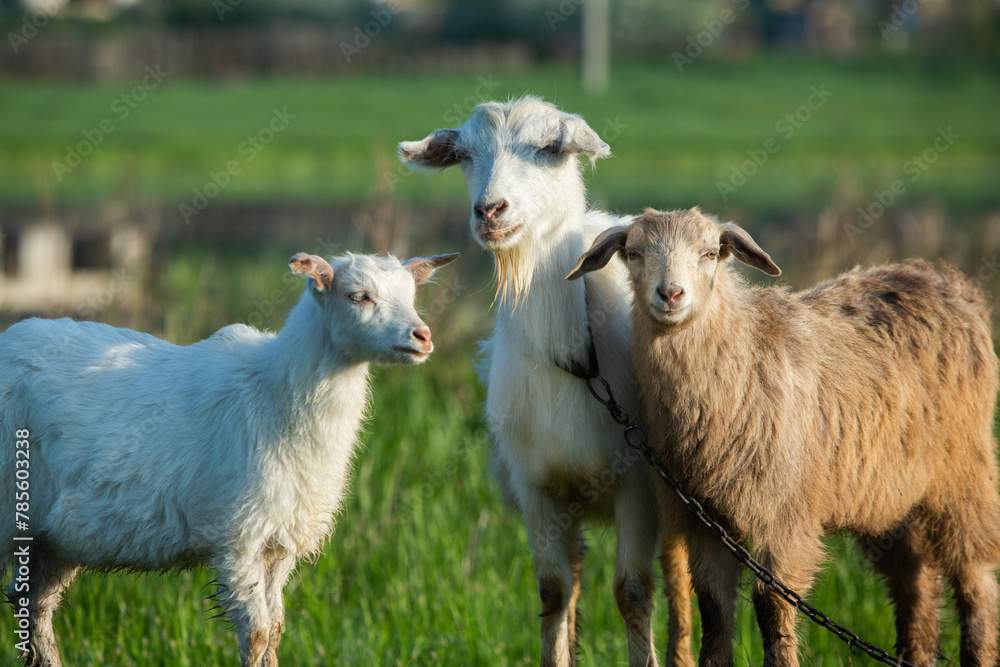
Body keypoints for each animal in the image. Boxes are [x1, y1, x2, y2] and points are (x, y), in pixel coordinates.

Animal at [0, 250, 458, 667]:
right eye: (358, 296)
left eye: (412, 294)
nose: (422, 336)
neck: (274, 393)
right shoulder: (238, 538)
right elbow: (257, 634)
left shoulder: (279, 543)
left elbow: (275, 629)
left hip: (52, 536)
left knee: (34, 606)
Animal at [400, 96, 693, 667]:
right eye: (463, 155)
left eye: (550, 146)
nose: (489, 211)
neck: (577, 358)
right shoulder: (536, 487)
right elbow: (553, 592)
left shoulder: (638, 483)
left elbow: (633, 592)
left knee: (681, 578)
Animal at [570, 206, 1000, 667]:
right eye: (633, 253)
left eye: (709, 252)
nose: (670, 295)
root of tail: (945, 281)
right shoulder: (703, 517)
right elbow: (714, 608)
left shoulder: (784, 515)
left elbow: (772, 606)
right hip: (891, 494)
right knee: (914, 578)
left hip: (964, 472)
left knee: (975, 576)